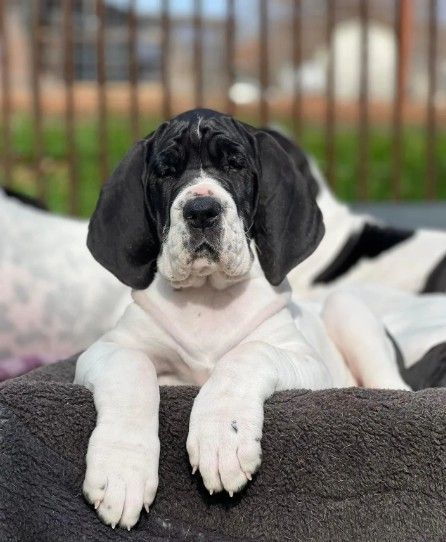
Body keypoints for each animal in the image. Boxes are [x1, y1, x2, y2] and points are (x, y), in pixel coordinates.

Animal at [74, 109, 446, 530]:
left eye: (235, 165)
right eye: (166, 172)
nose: (201, 211)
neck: (208, 297)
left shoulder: (307, 363)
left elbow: (249, 354)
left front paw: (222, 438)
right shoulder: (106, 349)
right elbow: (131, 367)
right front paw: (122, 468)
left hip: (345, 307)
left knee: (393, 385)